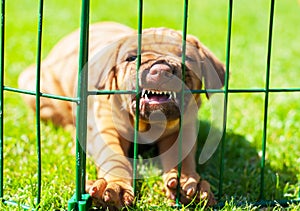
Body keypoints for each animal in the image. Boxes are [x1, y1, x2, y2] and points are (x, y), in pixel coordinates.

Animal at [18, 22, 225, 209]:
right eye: (131, 58)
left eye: (187, 58)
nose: (161, 70)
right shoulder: (106, 126)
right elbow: (113, 156)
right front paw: (113, 187)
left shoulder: (184, 128)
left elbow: (182, 158)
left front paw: (190, 184)